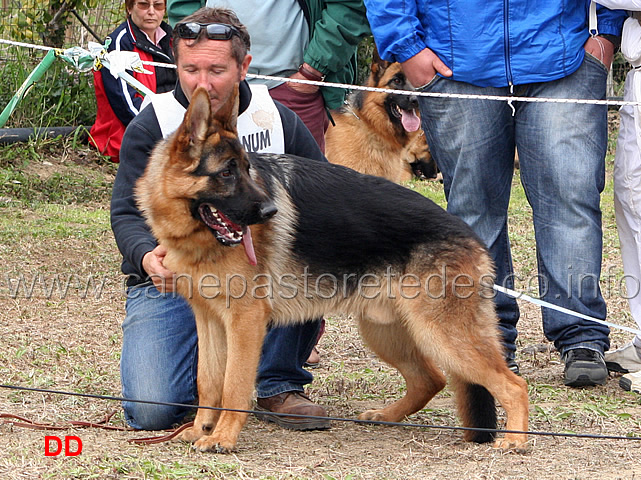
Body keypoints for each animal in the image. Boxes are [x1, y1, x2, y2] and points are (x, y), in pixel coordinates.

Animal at [136, 89, 528, 454]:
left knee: (512, 384)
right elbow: (209, 381)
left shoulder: (244, 323)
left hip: (441, 334)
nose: (270, 212)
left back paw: (515, 439)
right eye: (227, 172)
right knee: (430, 379)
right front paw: (201, 428)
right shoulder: (210, 320)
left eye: (247, 169)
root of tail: (471, 236)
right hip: (386, 331)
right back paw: (386, 416)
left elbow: (233, 384)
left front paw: (223, 437)